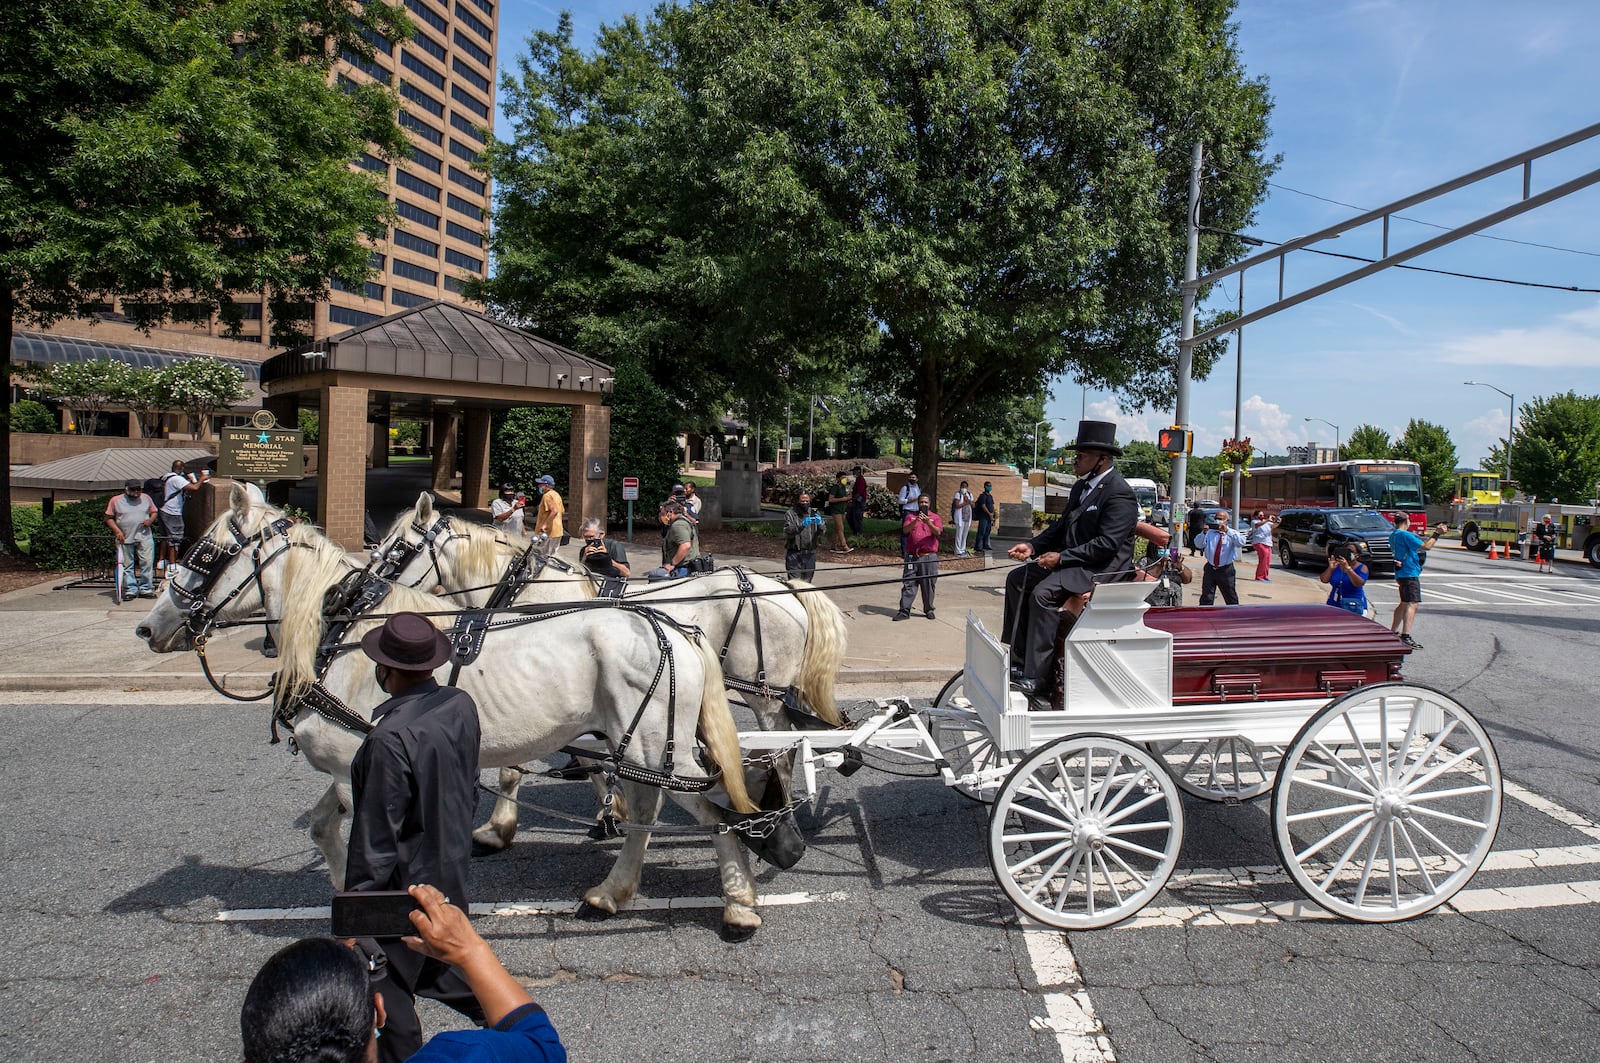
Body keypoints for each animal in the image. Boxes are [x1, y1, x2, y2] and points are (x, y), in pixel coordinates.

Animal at [134, 486, 771, 934]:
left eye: (202, 553)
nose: (147, 626)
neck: (343, 632)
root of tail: (676, 629)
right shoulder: (350, 760)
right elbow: (322, 826)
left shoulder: (355, 764)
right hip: (640, 741)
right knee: (649, 805)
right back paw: (614, 890)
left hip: (658, 743)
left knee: (713, 807)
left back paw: (739, 902)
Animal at [372, 489, 851, 845]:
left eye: (397, 551)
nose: (363, 591)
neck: (537, 597)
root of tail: (785, 587)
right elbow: (591, 760)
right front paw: (611, 813)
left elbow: (519, 762)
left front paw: (497, 828)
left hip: (763, 694)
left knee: (784, 750)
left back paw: (776, 811)